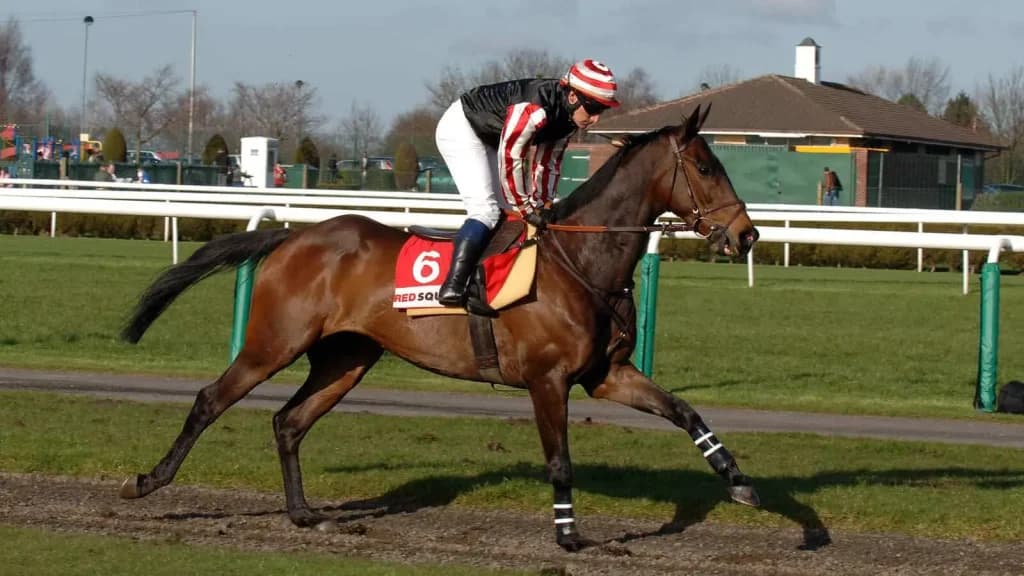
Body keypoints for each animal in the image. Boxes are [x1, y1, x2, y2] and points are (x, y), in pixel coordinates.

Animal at [118, 104, 760, 551]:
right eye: (707, 166)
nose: (748, 235)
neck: (578, 262)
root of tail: (291, 236)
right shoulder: (546, 379)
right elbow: (560, 461)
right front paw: (569, 535)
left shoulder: (606, 374)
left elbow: (685, 412)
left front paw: (738, 481)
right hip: (274, 343)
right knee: (210, 399)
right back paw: (147, 482)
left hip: (346, 358)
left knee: (289, 422)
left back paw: (303, 513)